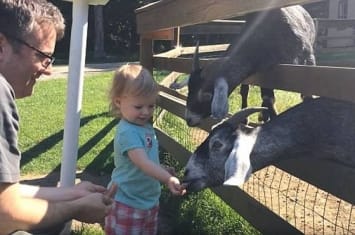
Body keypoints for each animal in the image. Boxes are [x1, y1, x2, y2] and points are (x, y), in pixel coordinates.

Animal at [186, 5, 318, 126]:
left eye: (207, 95)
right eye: (189, 89)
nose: (189, 119)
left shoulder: (308, 58)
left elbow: (307, 93)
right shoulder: (266, 69)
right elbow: (267, 97)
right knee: (245, 91)